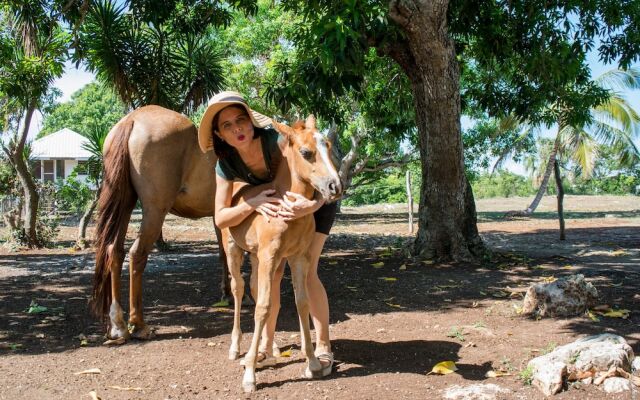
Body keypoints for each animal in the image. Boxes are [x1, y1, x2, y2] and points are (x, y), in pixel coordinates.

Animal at [91, 104, 228, 340]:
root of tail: (132, 119)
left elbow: (224, 254)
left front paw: (228, 295)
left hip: (125, 204)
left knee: (114, 251)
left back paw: (118, 324)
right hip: (155, 211)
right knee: (137, 254)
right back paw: (139, 324)